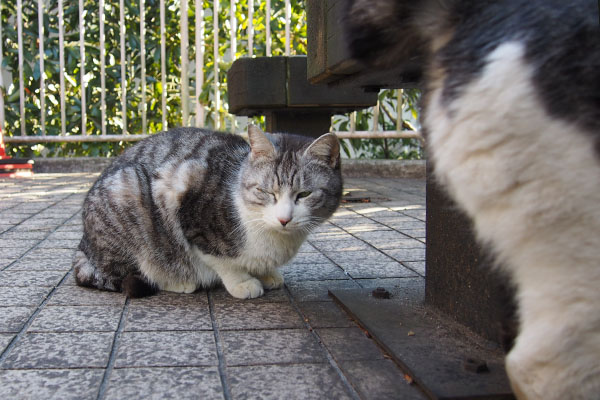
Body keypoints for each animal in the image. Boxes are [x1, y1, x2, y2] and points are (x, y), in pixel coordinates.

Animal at [72, 126, 342, 298]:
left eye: (304, 194)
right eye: (266, 192)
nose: (284, 219)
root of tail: (83, 244)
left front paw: (266, 274)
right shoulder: (187, 203)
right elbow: (220, 259)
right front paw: (243, 282)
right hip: (128, 190)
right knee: (127, 273)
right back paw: (179, 282)